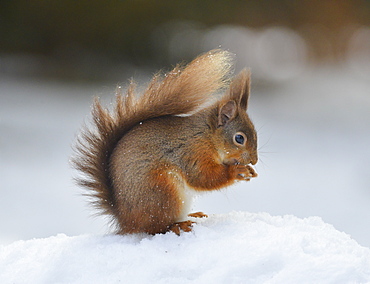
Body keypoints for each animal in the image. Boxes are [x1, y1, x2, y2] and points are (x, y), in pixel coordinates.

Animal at [72, 49, 258, 235]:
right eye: (239, 138)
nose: (254, 160)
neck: (207, 136)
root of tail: (125, 220)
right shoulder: (191, 152)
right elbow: (202, 177)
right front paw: (236, 171)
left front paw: (248, 170)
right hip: (162, 192)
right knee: (155, 228)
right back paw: (178, 225)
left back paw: (193, 215)